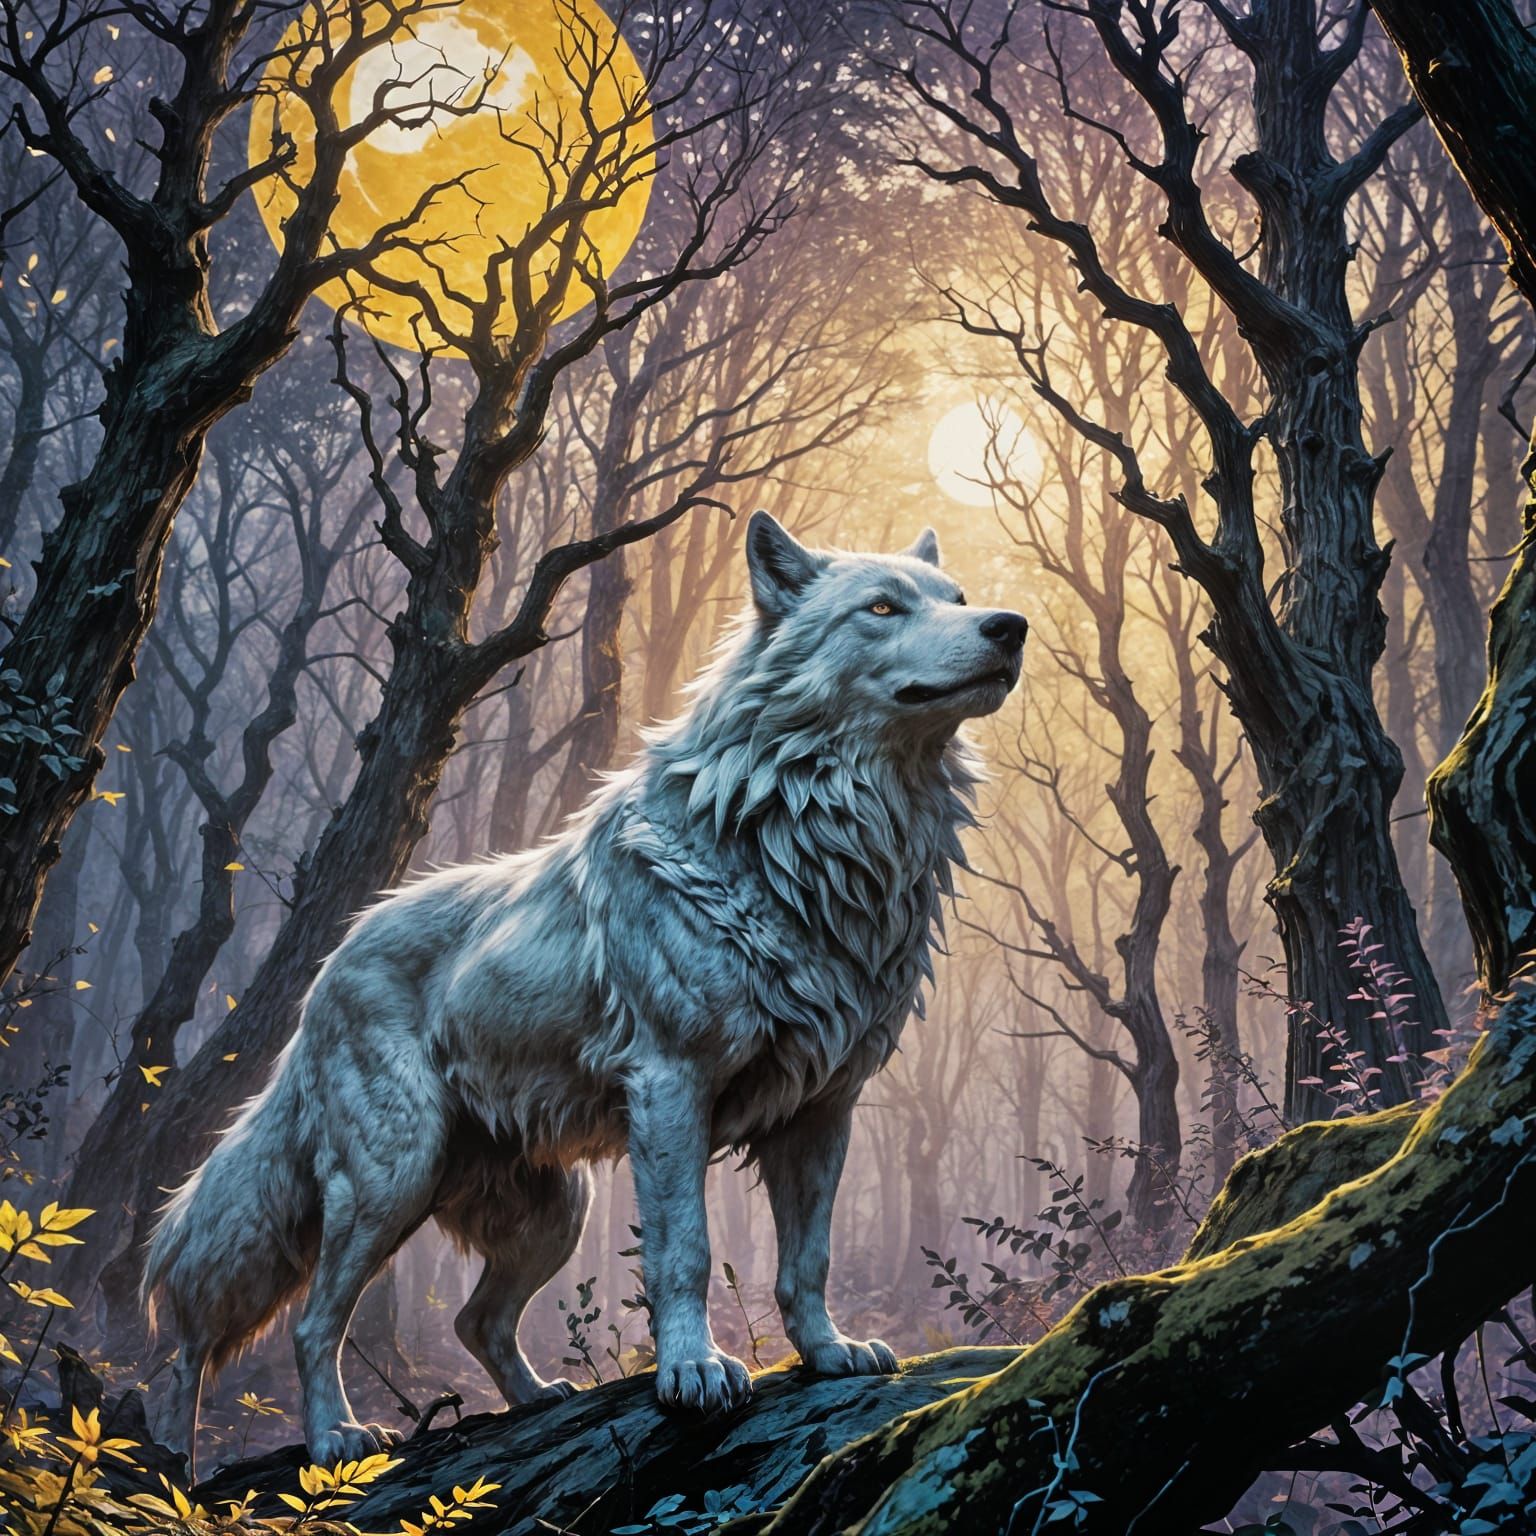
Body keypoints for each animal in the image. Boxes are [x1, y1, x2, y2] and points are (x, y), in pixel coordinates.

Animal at [144, 512, 1026, 1467]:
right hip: (392, 1181)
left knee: (475, 1320)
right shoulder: (673, 1087)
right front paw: (695, 1373)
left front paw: (828, 1352)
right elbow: (685, 1253)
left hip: (556, 1213)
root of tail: (323, 977)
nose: (1010, 626)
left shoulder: (823, 1109)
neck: (808, 847)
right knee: (297, 1327)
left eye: (958, 599)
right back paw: (319, 1439)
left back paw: (532, 1401)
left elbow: (809, 1259)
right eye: (882, 607)